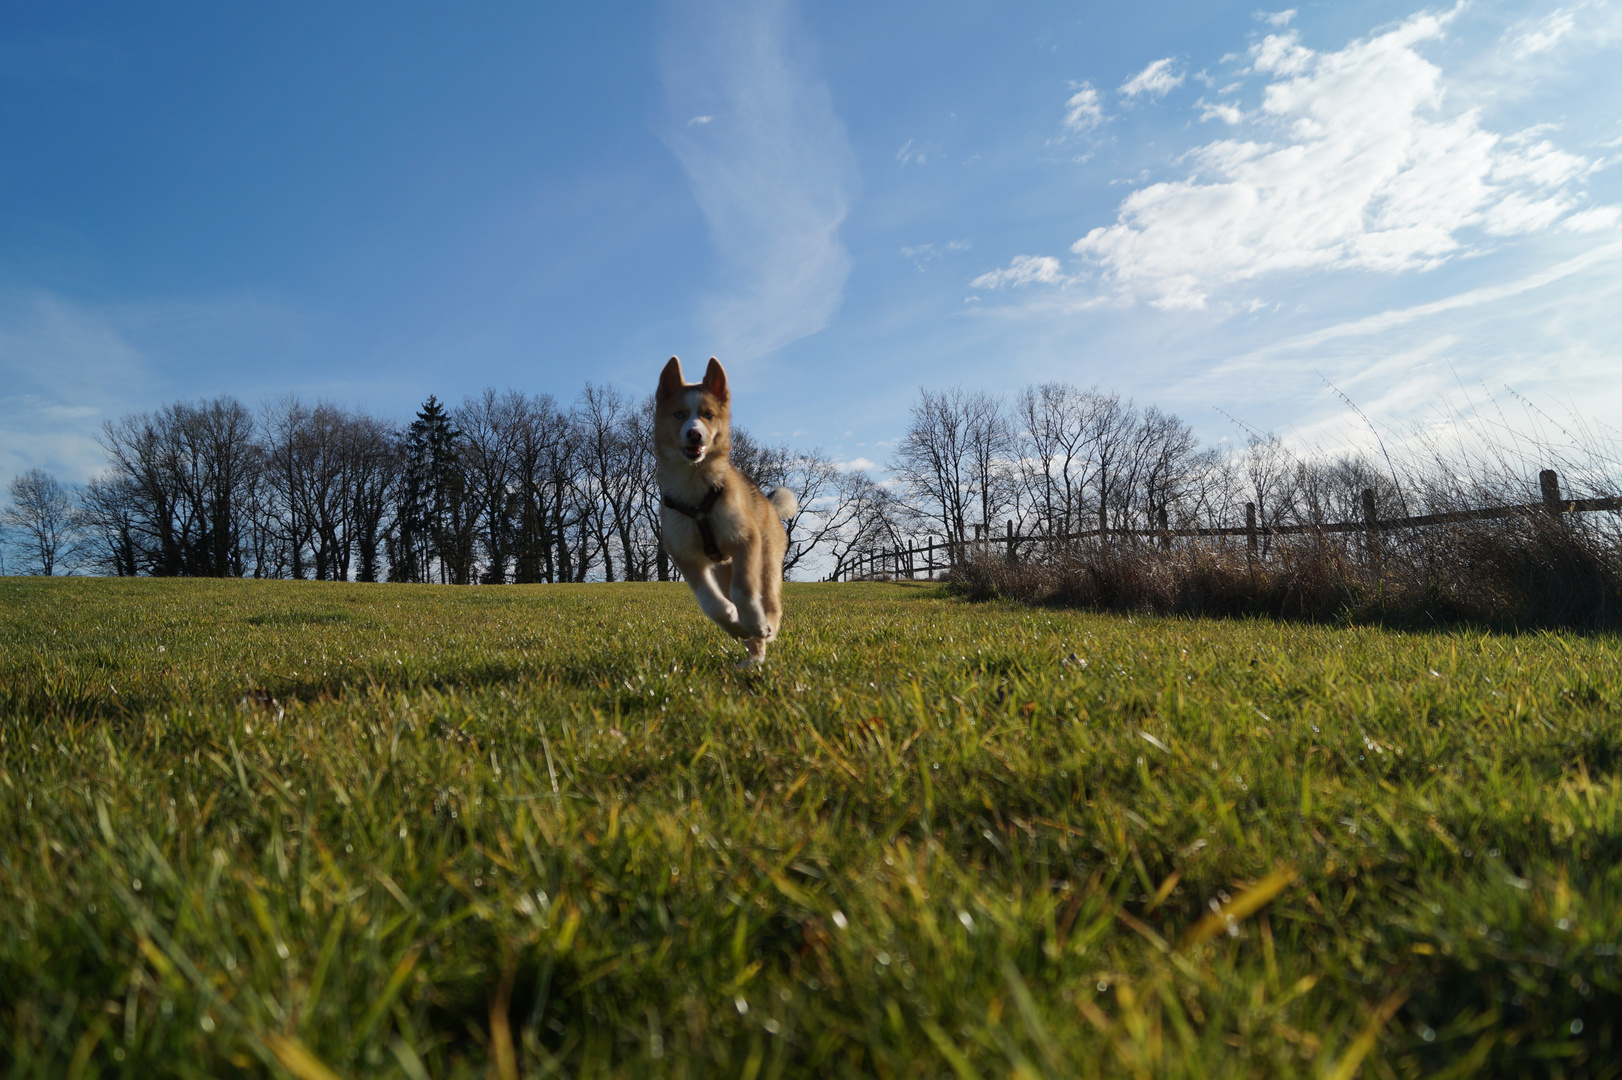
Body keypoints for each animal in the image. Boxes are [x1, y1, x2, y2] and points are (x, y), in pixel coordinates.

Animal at [648, 356, 794, 661]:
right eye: (679, 415)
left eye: (708, 415)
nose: (694, 434)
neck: (696, 491)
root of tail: (768, 503)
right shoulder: (685, 557)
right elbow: (713, 605)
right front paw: (737, 627)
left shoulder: (746, 541)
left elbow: (744, 592)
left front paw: (754, 623)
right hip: (722, 569)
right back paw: (753, 657)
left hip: (767, 560)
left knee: (770, 601)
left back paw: (766, 629)